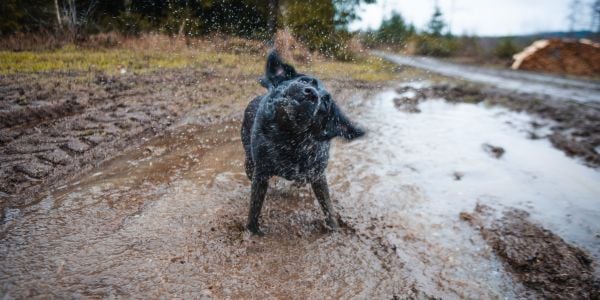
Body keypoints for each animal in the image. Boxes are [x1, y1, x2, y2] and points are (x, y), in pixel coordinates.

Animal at [240, 51, 364, 234]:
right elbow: (254, 208)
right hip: (250, 162)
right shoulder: (261, 173)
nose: (311, 93)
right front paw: (252, 232)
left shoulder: (317, 175)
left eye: (325, 101)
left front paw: (334, 230)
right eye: (305, 81)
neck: (290, 138)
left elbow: (328, 207)